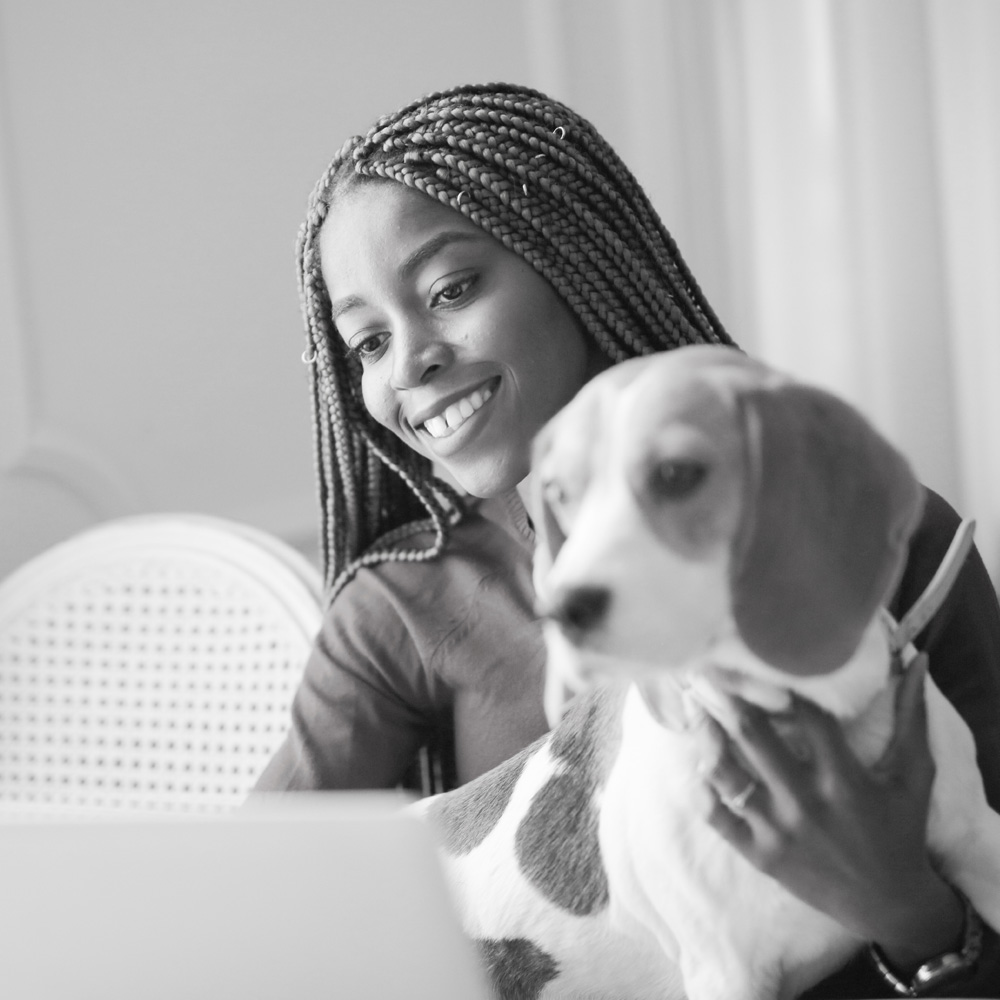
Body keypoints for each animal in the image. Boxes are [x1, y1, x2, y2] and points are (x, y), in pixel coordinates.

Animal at [414, 346, 1000, 1000]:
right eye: (560, 494)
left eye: (676, 474)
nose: (559, 610)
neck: (791, 713)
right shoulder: (726, 972)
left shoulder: (981, 845)